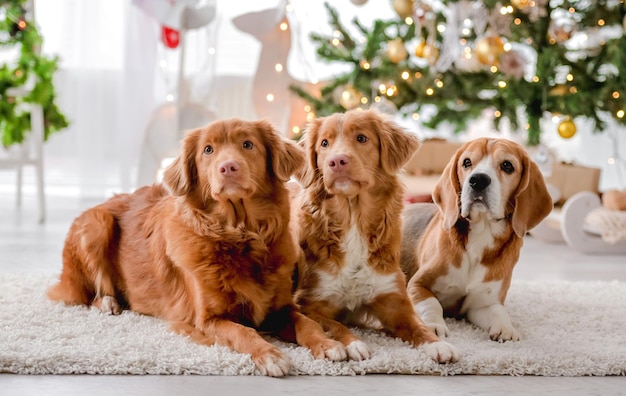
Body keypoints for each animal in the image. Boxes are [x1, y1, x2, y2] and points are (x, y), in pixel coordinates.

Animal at [47, 118, 346, 378]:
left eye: (248, 144)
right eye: (208, 150)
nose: (228, 167)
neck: (240, 235)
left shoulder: (281, 308)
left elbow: (307, 322)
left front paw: (328, 344)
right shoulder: (206, 320)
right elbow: (243, 332)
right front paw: (270, 355)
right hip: (97, 224)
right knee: (89, 291)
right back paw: (109, 302)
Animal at [290, 110, 456, 364]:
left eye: (361, 138)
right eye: (324, 143)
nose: (337, 161)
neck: (353, 219)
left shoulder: (394, 303)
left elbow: (419, 326)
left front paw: (437, 344)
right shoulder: (309, 304)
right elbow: (336, 325)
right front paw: (354, 344)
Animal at [400, 138, 552, 342]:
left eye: (507, 165)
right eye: (467, 162)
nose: (478, 180)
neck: (482, 233)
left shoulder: (482, 304)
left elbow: (498, 311)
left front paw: (506, 328)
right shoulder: (417, 285)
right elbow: (432, 304)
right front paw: (433, 325)